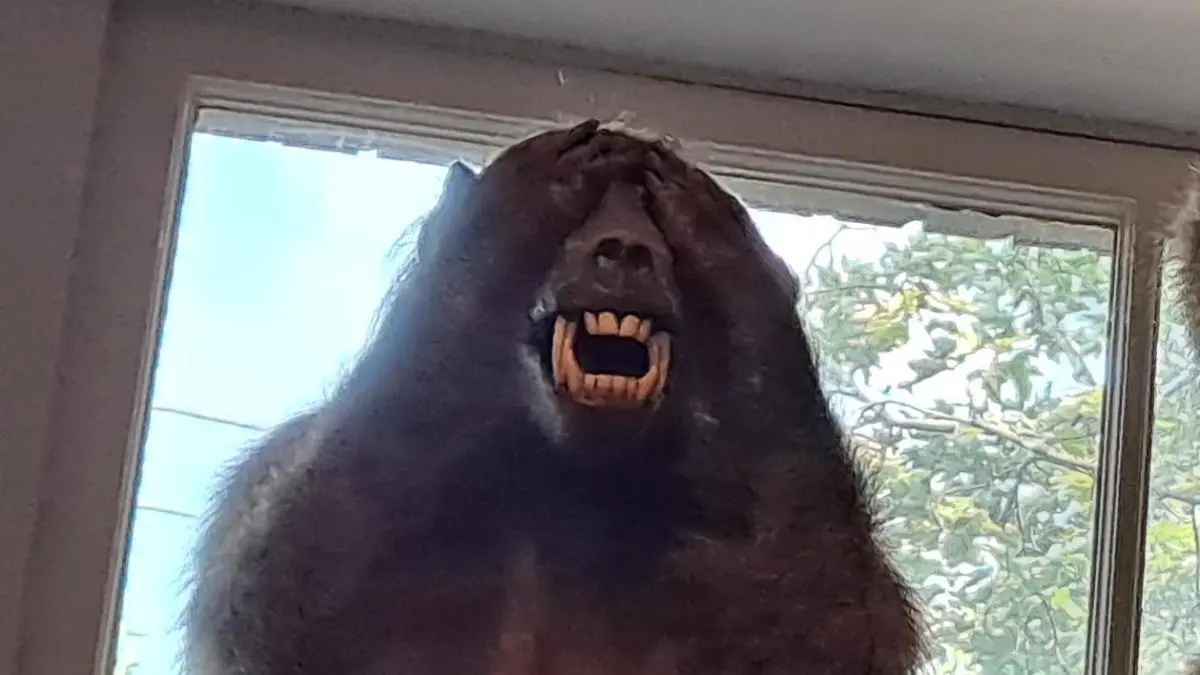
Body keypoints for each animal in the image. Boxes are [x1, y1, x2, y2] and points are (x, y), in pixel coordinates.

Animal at [182, 120, 926, 675]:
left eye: (650, 218)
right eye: (590, 215)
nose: (624, 246)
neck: (570, 476)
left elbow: (823, 636)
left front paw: (729, 254)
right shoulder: (276, 472)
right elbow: (283, 610)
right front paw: (492, 229)